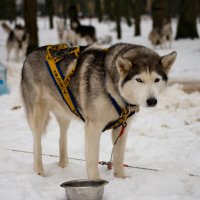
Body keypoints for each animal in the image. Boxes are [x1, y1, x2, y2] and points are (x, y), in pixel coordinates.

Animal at [20, 43, 177, 179]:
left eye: (156, 79)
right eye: (139, 80)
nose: (152, 101)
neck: (112, 86)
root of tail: (30, 54)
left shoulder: (122, 127)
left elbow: (118, 157)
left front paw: (121, 178)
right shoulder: (93, 127)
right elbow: (92, 159)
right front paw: (95, 180)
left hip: (64, 113)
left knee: (62, 139)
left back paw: (63, 164)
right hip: (38, 115)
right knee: (37, 143)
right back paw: (39, 170)